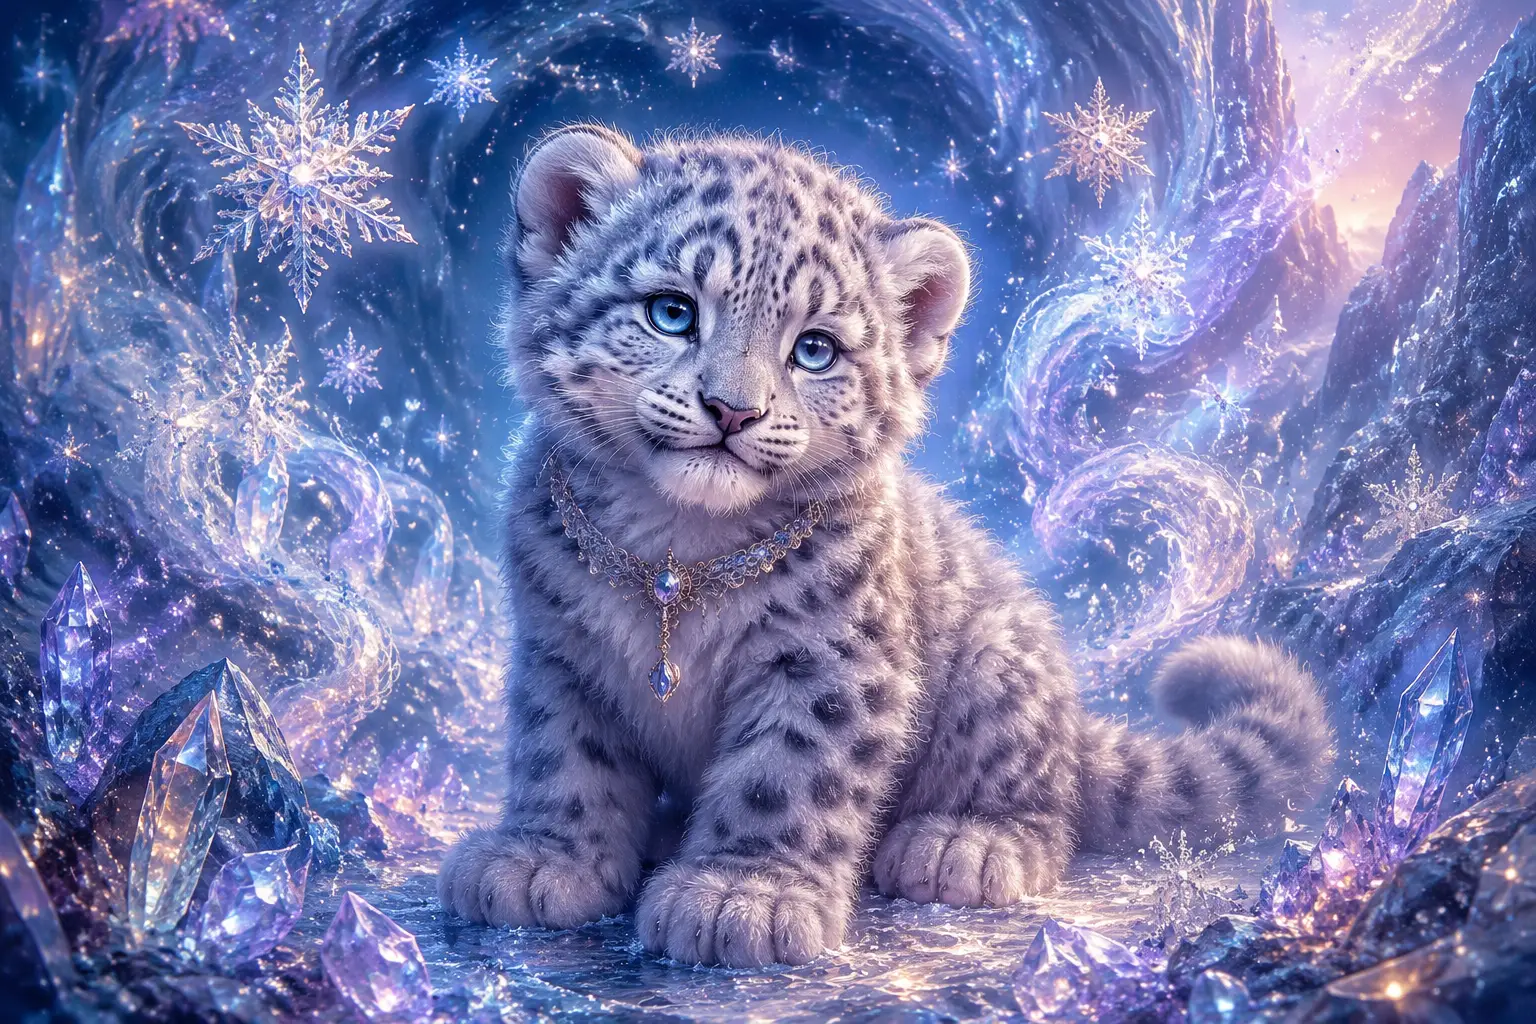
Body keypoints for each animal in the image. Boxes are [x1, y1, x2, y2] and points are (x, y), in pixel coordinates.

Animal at [438, 124, 1333, 968]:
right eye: (672, 311)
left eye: (815, 349)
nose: (733, 410)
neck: (677, 552)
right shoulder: (562, 650)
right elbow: (564, 756)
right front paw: (545, 859)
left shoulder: (826, 660)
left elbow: (785, 775)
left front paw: (741, 897)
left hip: (997, 672)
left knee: (1047, 804)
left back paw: (965, 844)